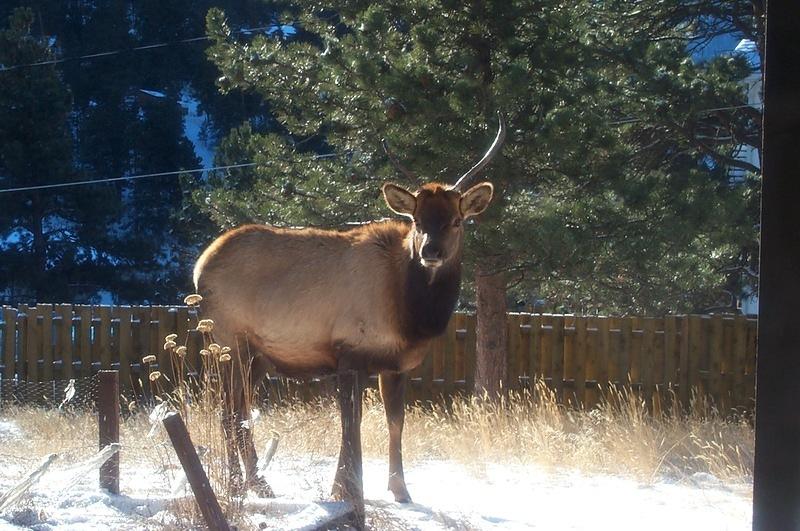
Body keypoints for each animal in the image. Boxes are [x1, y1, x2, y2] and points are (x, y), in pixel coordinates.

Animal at [192, 115, 506, 516]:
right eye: (418, 221)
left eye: (456, 220)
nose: (431, 252)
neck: (411, 313)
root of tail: (199, 268)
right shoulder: (349, 354)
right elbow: (350, 424)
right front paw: (345, 488)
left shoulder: (396, 365)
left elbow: (395, 422)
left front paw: (400, 490)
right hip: (231, 344)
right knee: (229, 412)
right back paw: (238, 485)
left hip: (259, 357)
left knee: (240, 411)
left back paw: (258, 484)